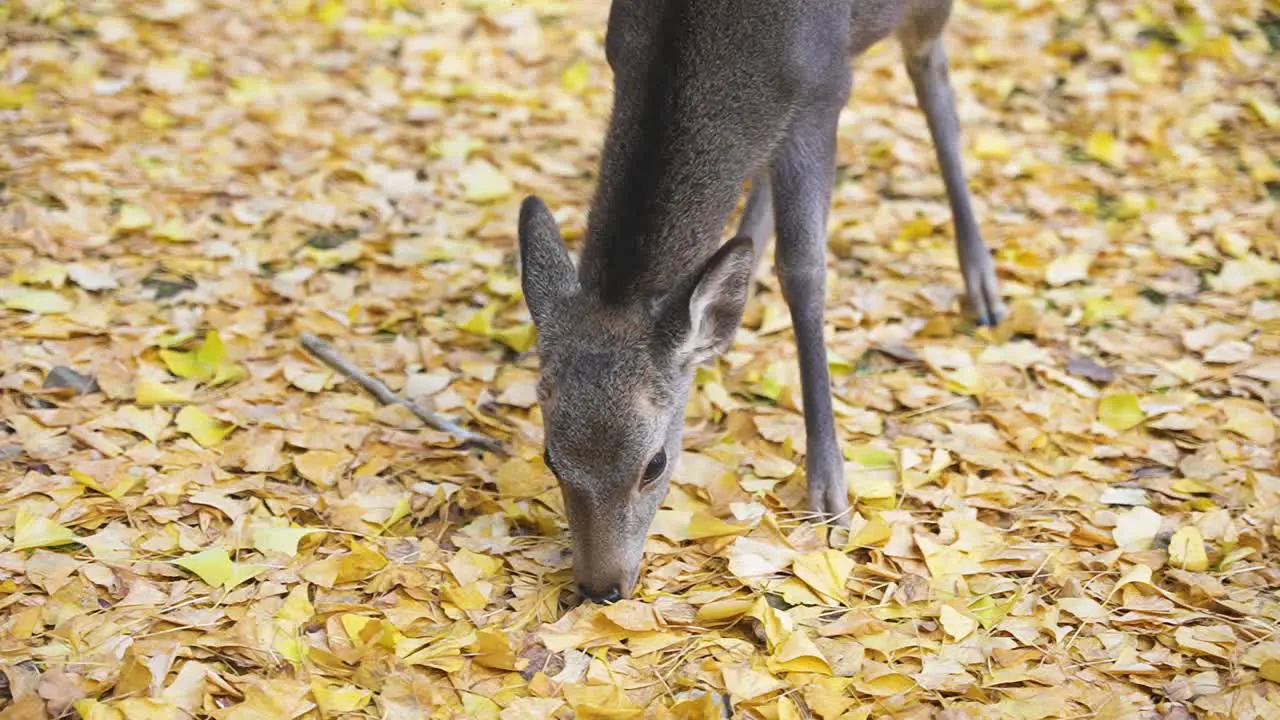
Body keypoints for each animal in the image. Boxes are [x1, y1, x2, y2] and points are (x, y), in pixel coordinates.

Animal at [514, 0, 1003, 599]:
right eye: (550, 458)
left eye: (655, 464)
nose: (600, 587)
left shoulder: (823, 90)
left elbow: (804, 270)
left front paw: (830, 494)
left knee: (934, 77)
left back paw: (982, 284)